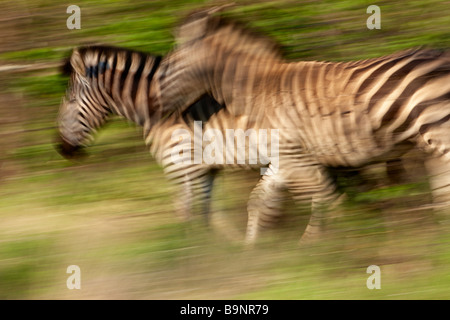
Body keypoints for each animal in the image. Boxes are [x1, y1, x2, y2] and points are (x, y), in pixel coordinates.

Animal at [149, 11, 450, 244]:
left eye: (165, 68)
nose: (153, 108)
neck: (257, 89)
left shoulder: (295, 157)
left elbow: (325, 198)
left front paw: (338, 243)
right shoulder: (285, 157)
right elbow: (261, 199)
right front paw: (256, 250)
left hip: (439, 129)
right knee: (442, 185)